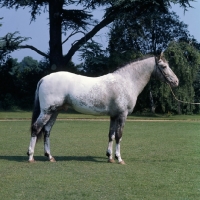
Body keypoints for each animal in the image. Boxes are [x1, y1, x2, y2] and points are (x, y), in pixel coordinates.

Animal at [27, 54, 179, 164]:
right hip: (47, 111)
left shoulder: (114, 116)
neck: (126, 81)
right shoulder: (122, 115)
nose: (176, 81)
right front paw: (119, 159)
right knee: (36, 128)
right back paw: (30, 157)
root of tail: (44, 79)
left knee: (47, 131)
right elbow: (119, 136)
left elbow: (111, 135)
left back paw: (50, 157)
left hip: (54, 112)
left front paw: (110, 157)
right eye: (164, 66)